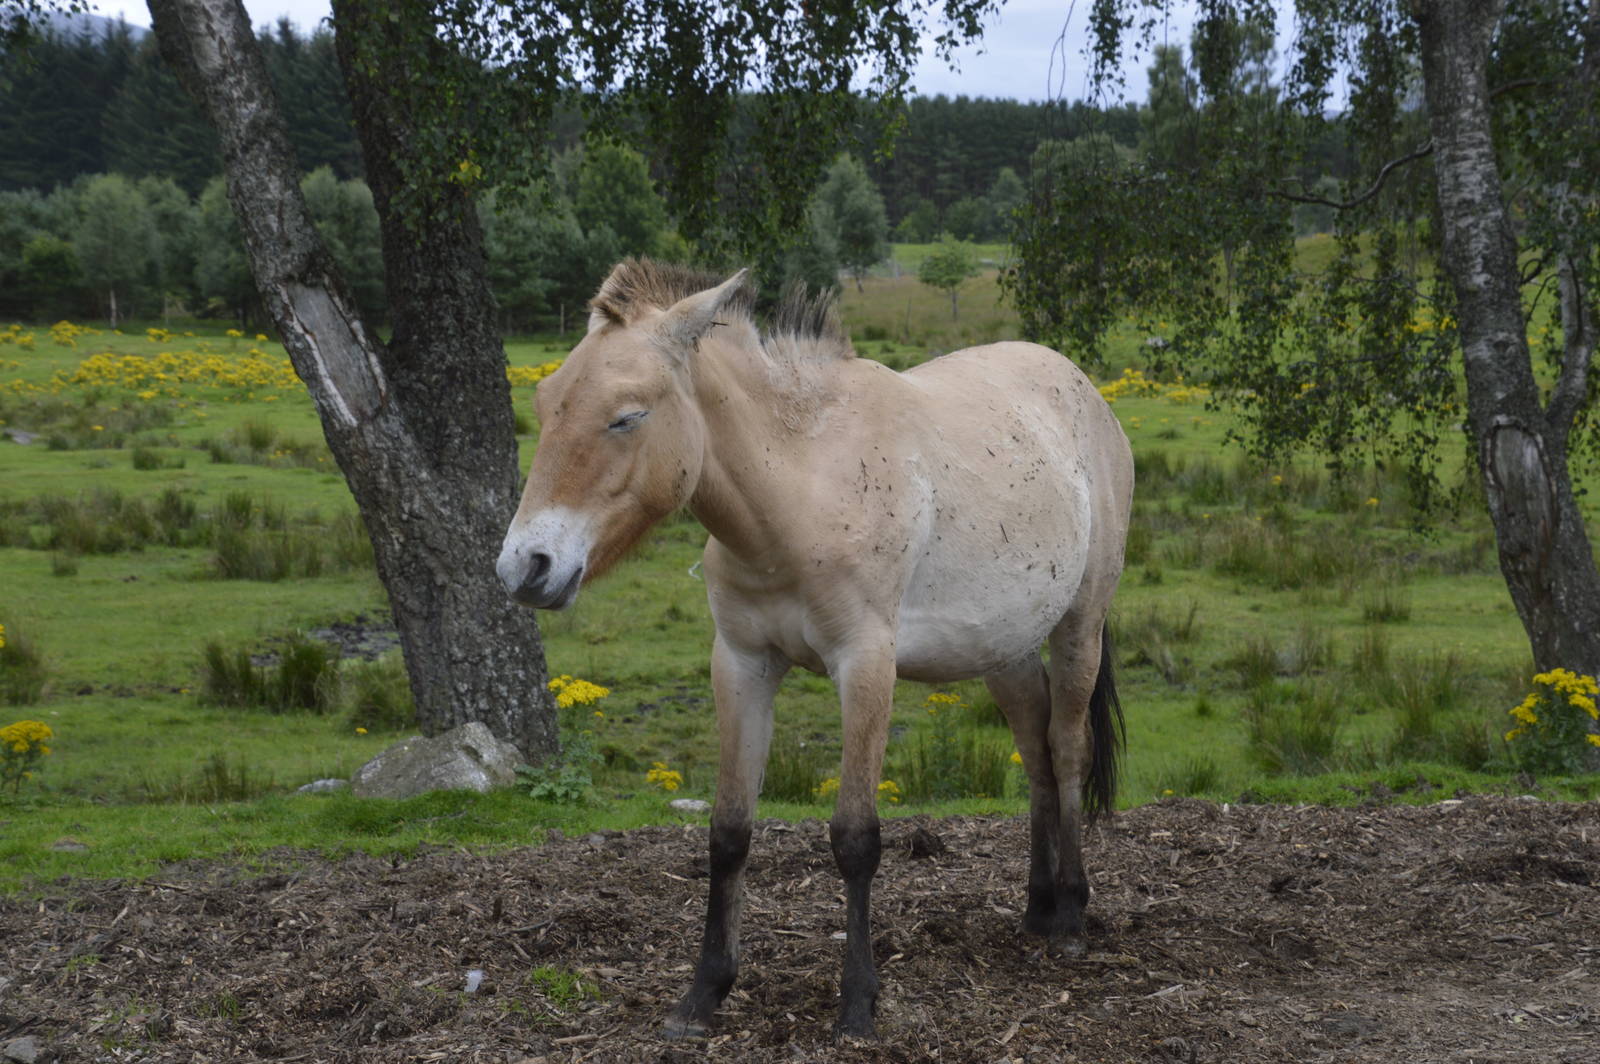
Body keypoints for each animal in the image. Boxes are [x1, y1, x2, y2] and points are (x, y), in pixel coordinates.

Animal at [497, 258, 1133, 1039]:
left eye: (627, 415)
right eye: (546, 401)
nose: (525, 566)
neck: (800, 491)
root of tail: (1083, 389)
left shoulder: (865, 666)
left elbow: (855, 839)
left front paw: (857, 1003)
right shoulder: (741, 665)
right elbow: (729, 831)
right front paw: (703, 993)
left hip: (1080, 625)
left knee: (1068, 750)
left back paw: (1070, 916)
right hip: (1004, 652)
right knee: (1037, 753)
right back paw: (1038, 909)